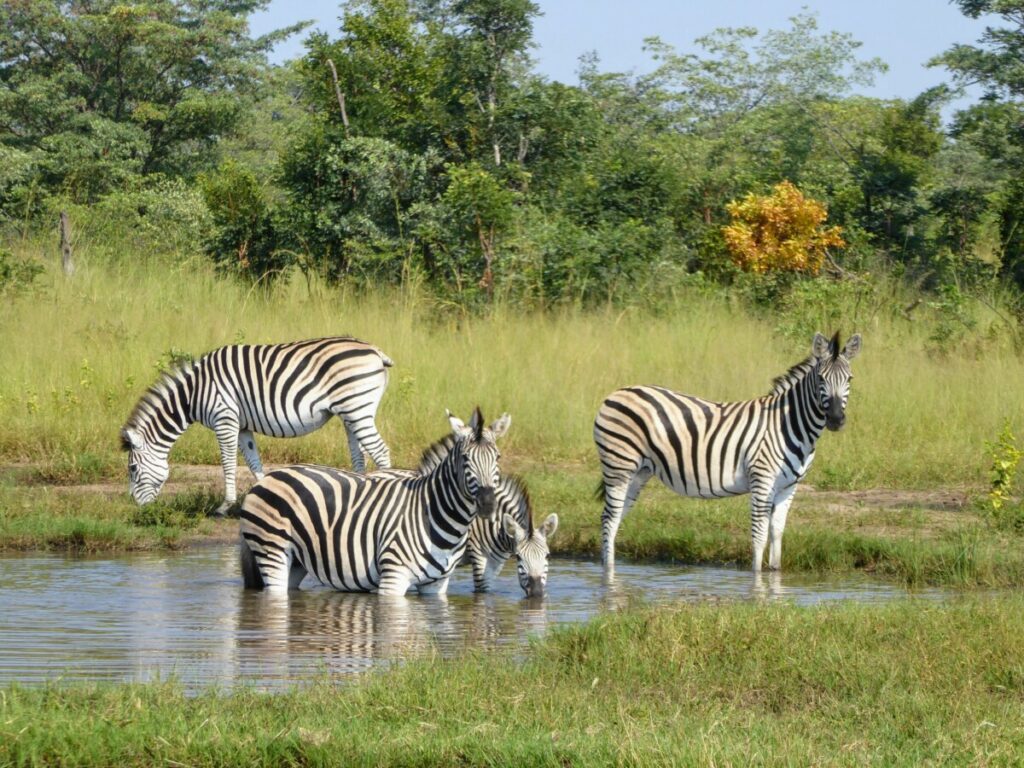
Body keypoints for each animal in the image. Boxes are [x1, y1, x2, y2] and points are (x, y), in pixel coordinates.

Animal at [119, 335, 391, 518]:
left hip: (357, 407)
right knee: (359, 455)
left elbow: (228, 463)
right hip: (350, 412)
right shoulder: (242, 427)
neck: (192, 394)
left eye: (133, 468)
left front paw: (224, 507)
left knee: (380, 451)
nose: (135, 508)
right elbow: (253, 462)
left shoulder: (225, 418)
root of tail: (375, 350)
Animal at [238, 405, 512, 598]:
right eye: (465, 459)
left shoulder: (437, 585)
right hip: (271, 549)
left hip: (296, 561)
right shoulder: (393, 577)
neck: (438, 516)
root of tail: (269, 476)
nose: (487, 504)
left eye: (498, 457)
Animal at [413, 436, 561, 598]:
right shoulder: (477, 555)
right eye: (518, 557)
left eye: (547, 556)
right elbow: (481, 591)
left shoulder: (496, 562)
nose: (536, 594)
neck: (493, 525)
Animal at [593, 331, 864, 577]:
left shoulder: (789, 487)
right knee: (609, 518)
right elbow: (759, 536)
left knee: (614, 517)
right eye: (820, 378)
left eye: (849, 379)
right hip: (618, 465)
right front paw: (757, 584)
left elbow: (777, 533)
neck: (787, 424)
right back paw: (609, 575)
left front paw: (775, 577)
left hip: (639, 472)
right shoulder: (761, 479)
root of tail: (617, 392)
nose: (836, 420)